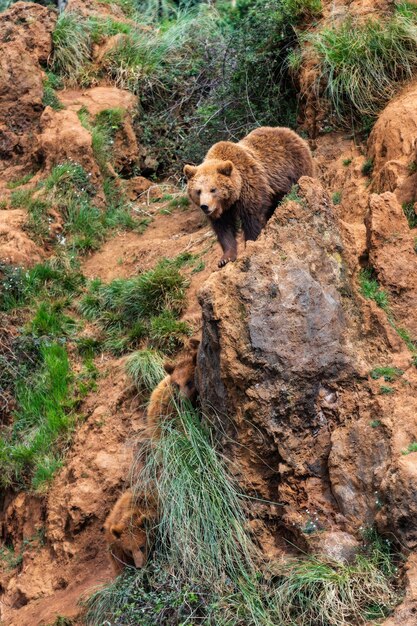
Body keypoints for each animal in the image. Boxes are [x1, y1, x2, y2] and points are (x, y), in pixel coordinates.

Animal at [183, 125, 312, 264]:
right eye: (198, 191)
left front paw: (251, 244)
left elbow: (252, 219)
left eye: (213, 189)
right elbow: (224, 228)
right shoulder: (222, 211)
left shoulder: (250, 188)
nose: (205, 206)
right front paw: (225, 258)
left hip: (295, 170)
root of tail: (291, 132)